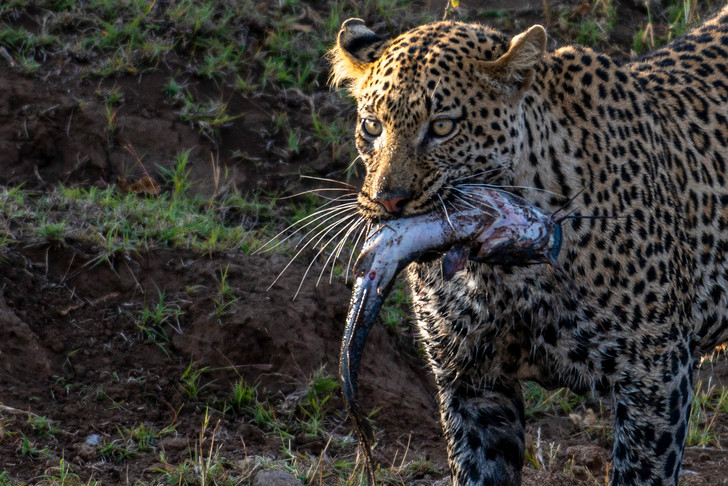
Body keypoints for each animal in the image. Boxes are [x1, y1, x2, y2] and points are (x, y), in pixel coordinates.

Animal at [328, 6, 728, 486]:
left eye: (442, 127)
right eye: (372, 126)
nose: (388, 200)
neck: (500, 275)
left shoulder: (655, 375)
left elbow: (641, 472)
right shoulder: (471, 382)